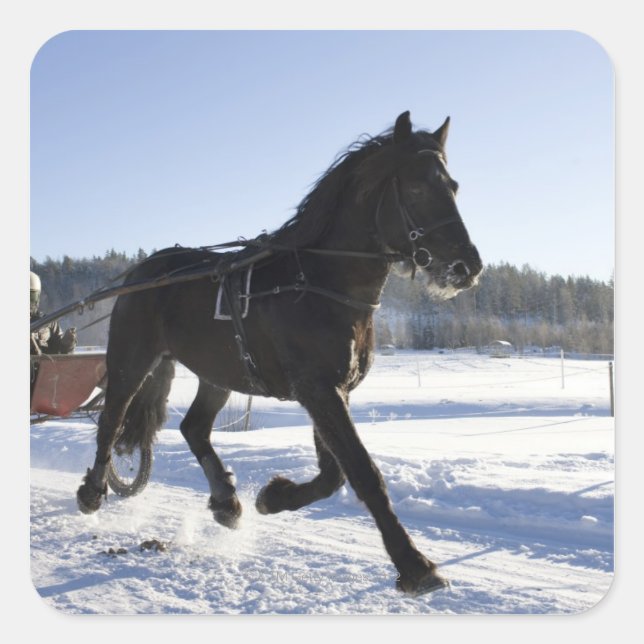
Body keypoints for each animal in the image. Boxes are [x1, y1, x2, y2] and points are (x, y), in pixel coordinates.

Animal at [77, 111, 483, 596]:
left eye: (454, 186)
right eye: (418, 188)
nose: (466, 266)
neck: (322, 281)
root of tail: (144, 270)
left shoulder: (334, 390)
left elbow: (333, 474)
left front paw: (275, 496)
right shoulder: (319, 389)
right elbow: (362, 471)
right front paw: (414, 564)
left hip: (217, 371)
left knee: (194, 428)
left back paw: (225, 501)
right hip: (132, 358)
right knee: (112, 419)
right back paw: (92, 491)